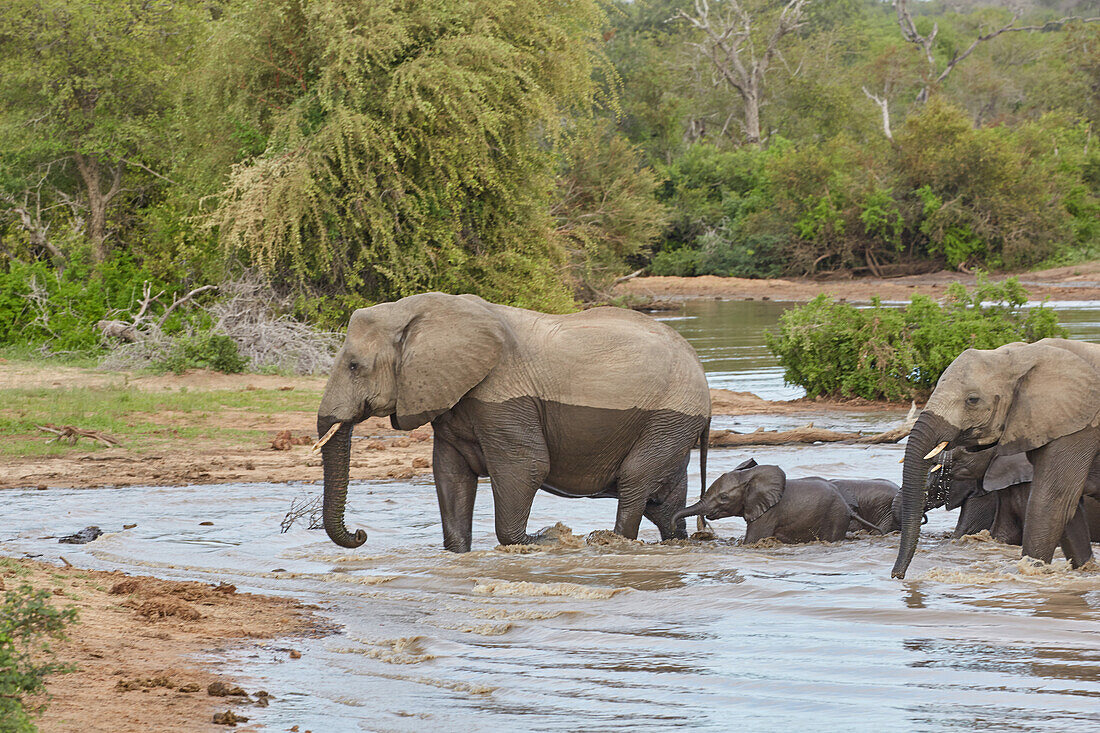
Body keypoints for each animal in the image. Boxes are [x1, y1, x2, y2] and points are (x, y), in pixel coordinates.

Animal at [319, 290, 712, 548]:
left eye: (353, 366)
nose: (361, 533)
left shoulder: (504, 397)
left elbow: (525, 466)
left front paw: (545, 539)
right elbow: (450, 472)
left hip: (670, 417)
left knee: (634, 482)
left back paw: (615, 541)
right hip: (672, 424)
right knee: (663, 504)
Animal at [668, 457, 875, 541]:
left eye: (724, 497)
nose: (672, 526)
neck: (749, 477)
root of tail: (848, 508)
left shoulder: (769, 514)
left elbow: (752, 540)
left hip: (835, 518)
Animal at [888, 336, 1100, 576]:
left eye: (972, 400)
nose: (897, 576)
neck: (1025, 355)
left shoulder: (1079, 427)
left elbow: (1052, 501)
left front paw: (1028, 572)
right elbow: (1067, 509)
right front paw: (1083, 569)